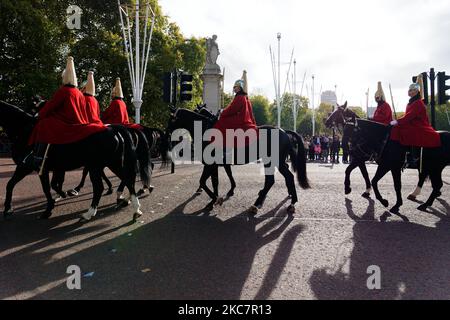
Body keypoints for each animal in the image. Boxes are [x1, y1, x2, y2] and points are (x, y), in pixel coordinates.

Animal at [0, 100, 149, 220]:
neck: (25, 131)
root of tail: (115, 129)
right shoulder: (45, 167)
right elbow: (14, 184)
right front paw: (8, 209)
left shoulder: (33, 167)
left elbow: (45, 188)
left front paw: (48, 209)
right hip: (112, 163)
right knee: (126, 180)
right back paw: (134, 207)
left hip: (99, 165)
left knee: (101, 186)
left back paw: (91, 212)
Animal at [165, 107, 310, 215]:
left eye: (171, 120)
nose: (166, 137)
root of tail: (284, 131)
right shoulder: (216, 164)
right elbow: (216, 181)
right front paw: (216, 199)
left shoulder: (211, 164)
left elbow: (203, 181)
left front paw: (215, 199)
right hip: (272, 161)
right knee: (274, 179)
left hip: (275, 161)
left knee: (283, 177)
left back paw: (283, 203)